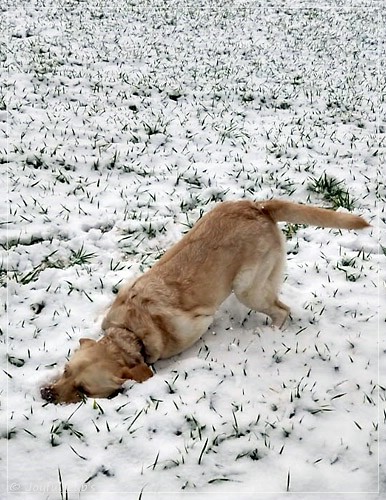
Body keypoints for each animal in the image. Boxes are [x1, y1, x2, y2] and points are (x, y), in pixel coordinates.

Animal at [40, 199, 370, 402]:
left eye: (84, 390)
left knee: (282, 310)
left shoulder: (197, 324)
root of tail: (259, 205)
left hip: (248, 289)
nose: (46, 394)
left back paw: (269, 333)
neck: (130, 332)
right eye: (66, 371)